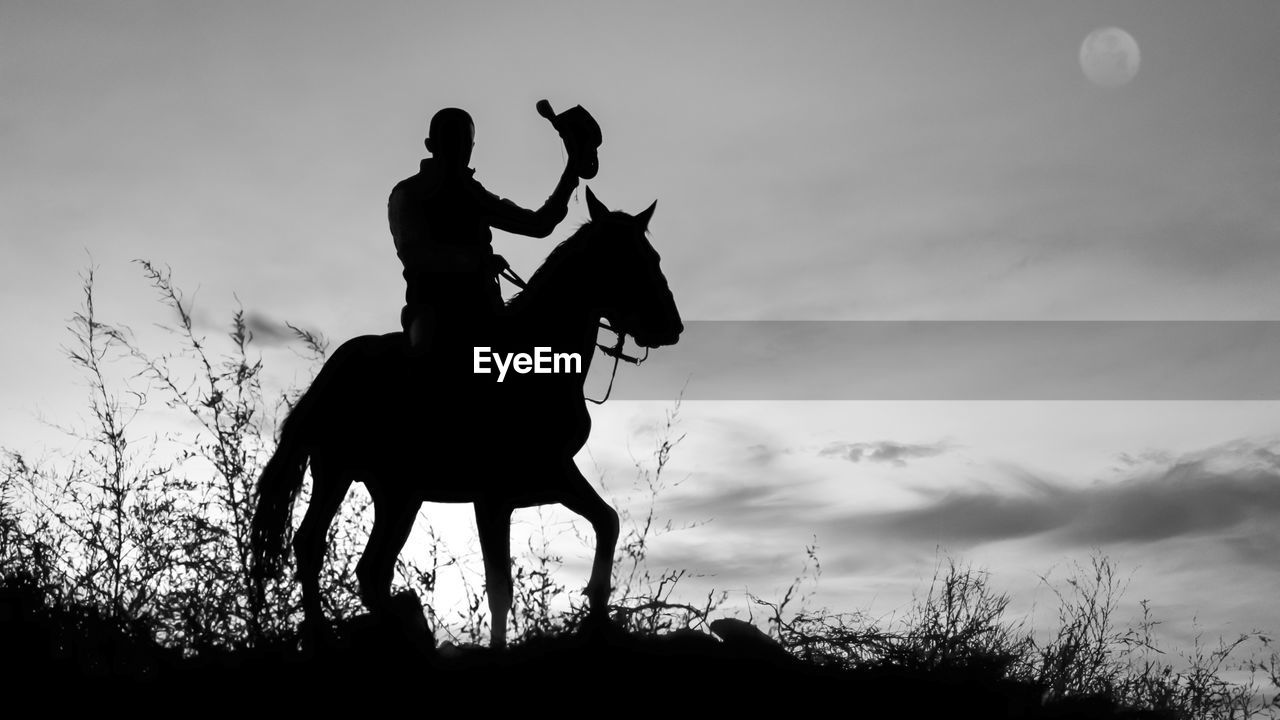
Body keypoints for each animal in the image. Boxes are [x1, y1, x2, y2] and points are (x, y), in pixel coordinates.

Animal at [253, 189, 686, 645]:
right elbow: (499, 586)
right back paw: (330, 632)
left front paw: (599, 614)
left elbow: (608, 522)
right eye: (635, 260)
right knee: (312, 545)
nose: (671, 327)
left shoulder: (552, 474)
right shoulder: (494, 493)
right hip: (337, 471)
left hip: (398, 493)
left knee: (371, 571)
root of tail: (331, 373)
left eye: (653, 256)